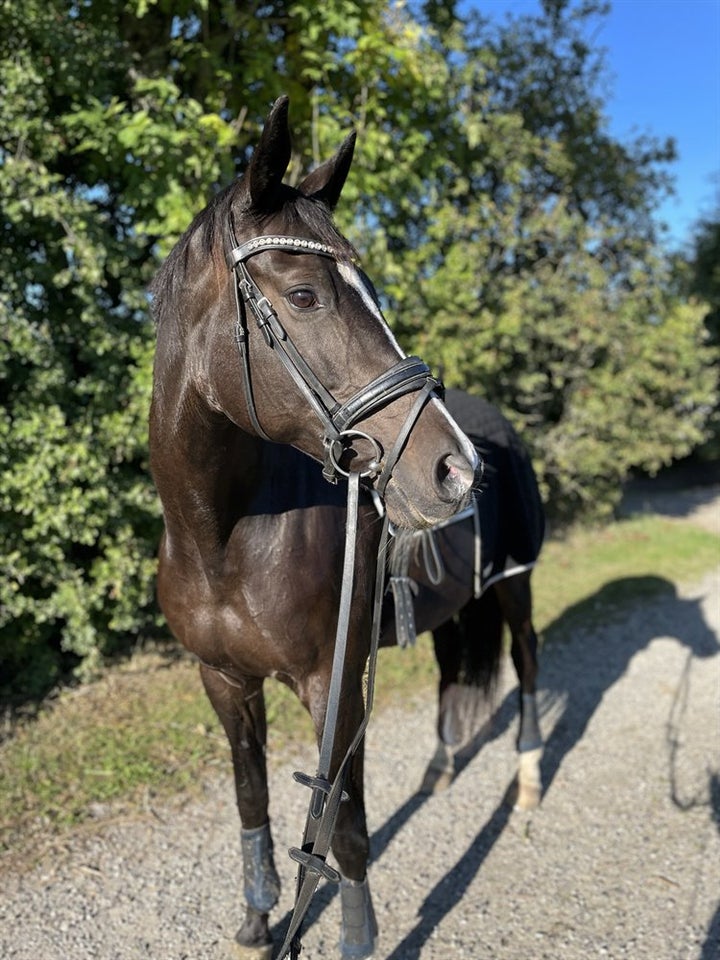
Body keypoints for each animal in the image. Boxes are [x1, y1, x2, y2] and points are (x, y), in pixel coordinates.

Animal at [148, 99, 478, 960]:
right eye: (302, 297)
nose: (455, 469)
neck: (224, 538)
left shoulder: (335, 684)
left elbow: (345, 832)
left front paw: (356, 938)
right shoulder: (224, 681)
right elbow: (252, 801)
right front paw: (260, 917)